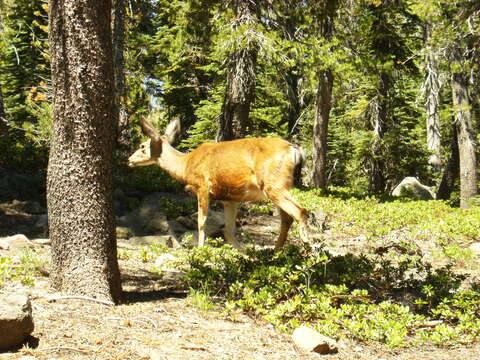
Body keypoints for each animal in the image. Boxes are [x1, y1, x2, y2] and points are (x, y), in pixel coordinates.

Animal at [127, 116, 310, 252]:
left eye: (142, 146)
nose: (129, 160)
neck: (185, 166)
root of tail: (294, 150)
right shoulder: (230, 199)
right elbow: (227, 231)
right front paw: (245, 254)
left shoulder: (202, 186)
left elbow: (201, 222)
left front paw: (200, 250)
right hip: (280, 185)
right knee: (287, 218)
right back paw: (276, 253)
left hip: (273, 184)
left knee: (300, 211)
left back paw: (306, 245)